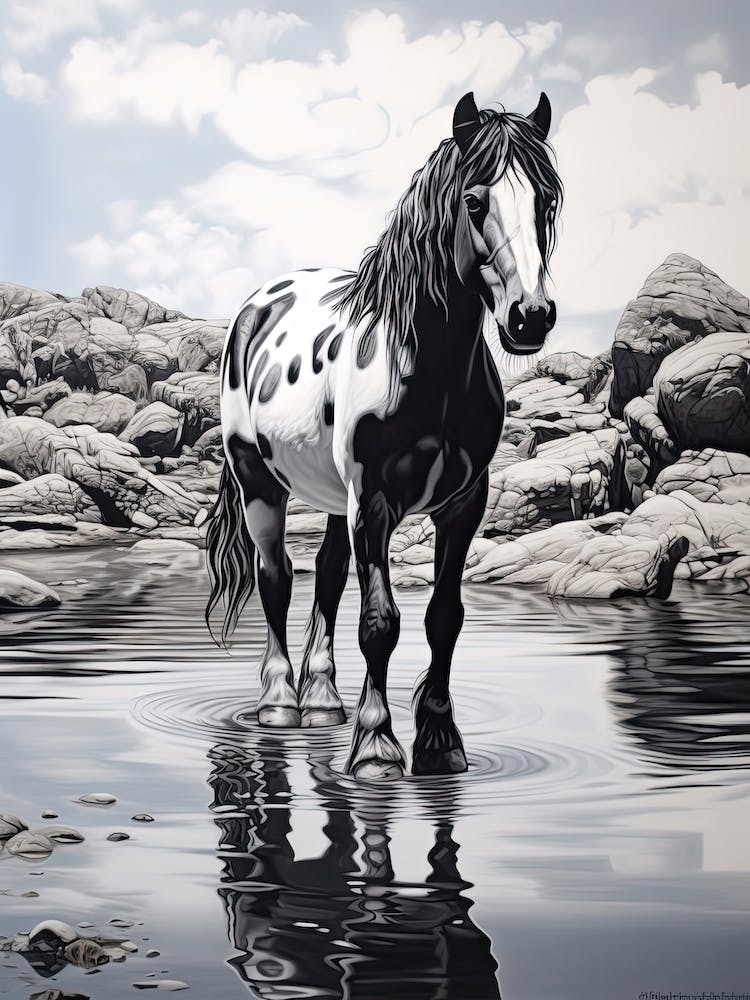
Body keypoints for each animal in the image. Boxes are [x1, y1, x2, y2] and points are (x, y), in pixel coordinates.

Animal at [206, 91, 562, 780]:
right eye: (473, 201)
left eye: (546, 201)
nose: (529, 317)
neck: (430, 369)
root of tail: (257, 305)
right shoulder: (373, 502)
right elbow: (380, 622)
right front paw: (375, 745)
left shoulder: (463, 505)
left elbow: (443, 617)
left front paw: (440, 740)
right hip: (262, 484)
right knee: (276, 577)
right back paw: (279, 701)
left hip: (331, 495)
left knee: (325, 574)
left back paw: (322, 699)